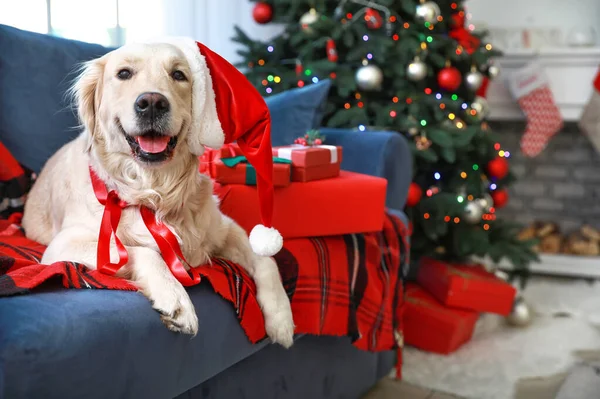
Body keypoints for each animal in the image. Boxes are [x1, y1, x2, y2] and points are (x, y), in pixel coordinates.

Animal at [22, 41, 294, 346]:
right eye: (124, 73)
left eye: (178, 75)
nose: (152, 102)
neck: (153, 191)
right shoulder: (64, 245)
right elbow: (145, 252)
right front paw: (176, 299)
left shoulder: (224, 228)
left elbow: (266, 259)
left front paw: (282, 318)